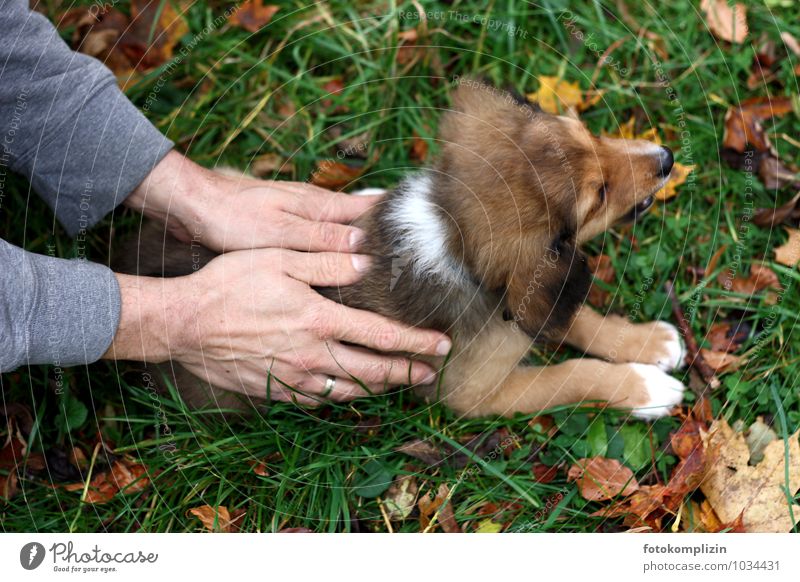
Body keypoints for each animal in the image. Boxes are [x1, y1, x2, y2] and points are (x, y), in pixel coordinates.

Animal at [115, 80, 684, 422]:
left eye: (586, 131)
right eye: (598, 195)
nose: (666, 157)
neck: (450, 235)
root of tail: (125, 252)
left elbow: (574, 316)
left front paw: (649, 343)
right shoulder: (472, 394)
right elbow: (567, 374)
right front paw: (645, 387)